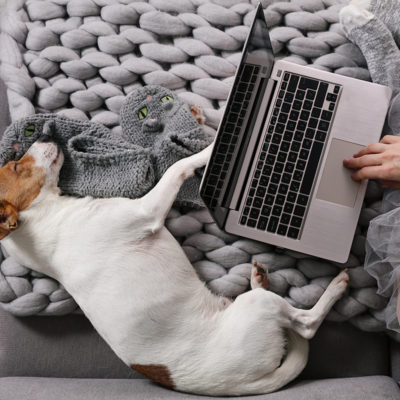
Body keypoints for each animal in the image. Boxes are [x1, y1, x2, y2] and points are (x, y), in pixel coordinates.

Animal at [0, 138, 348, 396]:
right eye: (15, 167)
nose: (44, 134)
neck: (40, 223)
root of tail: (243, 385)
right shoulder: (147, 210)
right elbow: (177, 167)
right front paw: (212, 148)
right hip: (259, 309)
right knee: (306, 323)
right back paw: (336, 285)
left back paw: (258, 277)